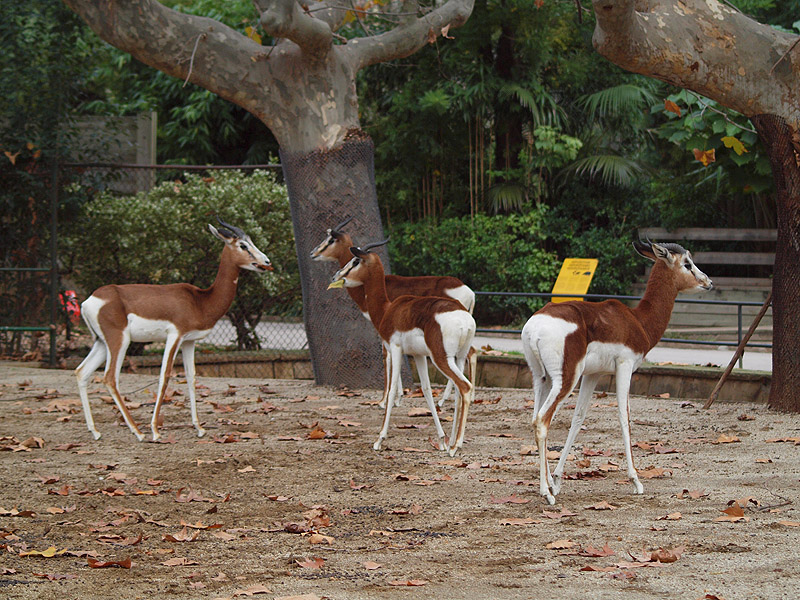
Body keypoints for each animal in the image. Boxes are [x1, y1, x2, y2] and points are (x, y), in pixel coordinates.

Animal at [75, 219, 272, 442]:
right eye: (243, 245)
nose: (266, 261)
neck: (200, 301)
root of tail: (89, 301)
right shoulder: (175, 336)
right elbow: (165, 376)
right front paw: (155, 430)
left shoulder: (189, 341)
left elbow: (191, 377)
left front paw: (199, 428)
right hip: (120, 341)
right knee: (109, 377)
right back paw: (138, 432)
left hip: (101, 342)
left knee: (82, 372)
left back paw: (95, 431)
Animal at [311, 217, 475, 407]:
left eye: (330, 240)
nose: (313, 253)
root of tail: (469, 292)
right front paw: (397, 397)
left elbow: (386, 357)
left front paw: (385, 400)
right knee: (471, 354)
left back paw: (443, 400)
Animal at [328, 240, 476, 456]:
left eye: (355, 261)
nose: (336, 276)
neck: (387, 310)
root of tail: (464, 317)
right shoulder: (418, 355)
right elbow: (426, 390)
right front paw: (441, 440)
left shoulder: (395, 348)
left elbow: (392, 389)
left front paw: (379, 440)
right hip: (458, 357)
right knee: (459, 389)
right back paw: (452, 443)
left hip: (441, 358)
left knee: (464, 387)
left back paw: (456, 446)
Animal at [521, 240, 712, 504]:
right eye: (687, 263)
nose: (708, 281)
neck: (637, 320)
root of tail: (534, 327)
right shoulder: (624, 365)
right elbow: (624, 417)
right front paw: (636, 481)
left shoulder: (594, 375)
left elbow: (578, 418)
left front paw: (558, 480)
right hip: (565, 380)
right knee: (541, 420)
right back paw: (546, 494)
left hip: (542, 379)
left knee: (534, 417)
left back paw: (549, 485)